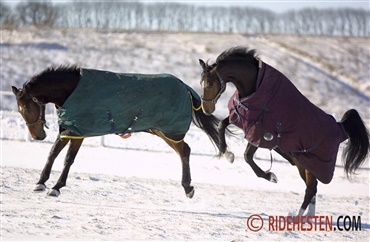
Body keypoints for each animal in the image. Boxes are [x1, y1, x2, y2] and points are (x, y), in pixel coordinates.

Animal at [12, 65, 223, 199]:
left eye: (28, 107)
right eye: (20, 110)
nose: (37, 136)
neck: (72, 90)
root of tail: (184, 86)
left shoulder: (79, 132)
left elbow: (68, 159)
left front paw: (56, 187)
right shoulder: (69, 129)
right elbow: (52, 154)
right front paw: (40, 182)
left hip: (168, 130)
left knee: (185, 151)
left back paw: (188, 188)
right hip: (162, 130)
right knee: (183, 151)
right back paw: (188, 188)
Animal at [199, 46, 370, 216]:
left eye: (209, 84)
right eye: (201, 83)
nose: (206, 109)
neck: (255, 88)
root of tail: (341, 128)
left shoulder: (260, 132)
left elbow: (248, 157)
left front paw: (270, 176)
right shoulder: (242, 118)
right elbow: (222, 125)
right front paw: (228, 154)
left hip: (309, 164)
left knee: (311, 189)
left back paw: (298, 216)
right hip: (302, 163)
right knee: (312, 189)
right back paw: (308, 216)